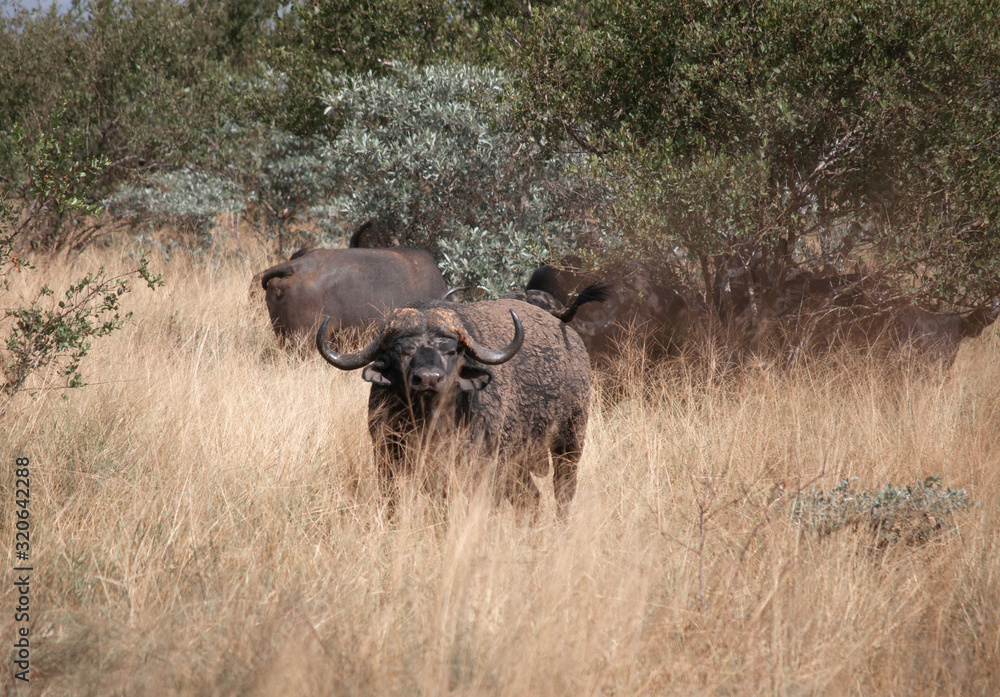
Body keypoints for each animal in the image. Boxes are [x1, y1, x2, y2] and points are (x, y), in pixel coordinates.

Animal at [316, 299, 592, 518]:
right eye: (402, 350)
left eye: (450, 351)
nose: (428, 379)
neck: (430, 422)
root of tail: (572, 340)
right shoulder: (387, 459)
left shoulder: (487, 467)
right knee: (530, 499)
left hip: (570, 440)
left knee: (564, 490)